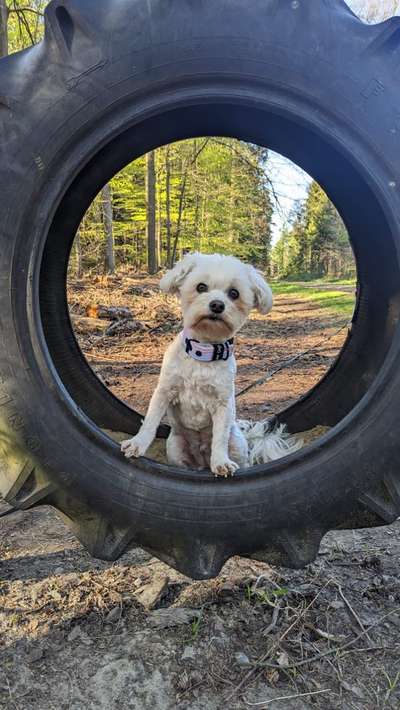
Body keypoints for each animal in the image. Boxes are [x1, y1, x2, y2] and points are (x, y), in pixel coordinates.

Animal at [120, 254, 302, 478]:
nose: (217, 305)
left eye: (234, 293)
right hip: (176, 449)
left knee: (243, 460)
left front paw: (221, 462)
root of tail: (201, 463)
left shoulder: (223, 404)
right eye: (201, 287)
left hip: (237, 446)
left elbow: (219, 437)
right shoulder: (164, 391)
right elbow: (150, 421)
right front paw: (137, 444)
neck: (202, 353)